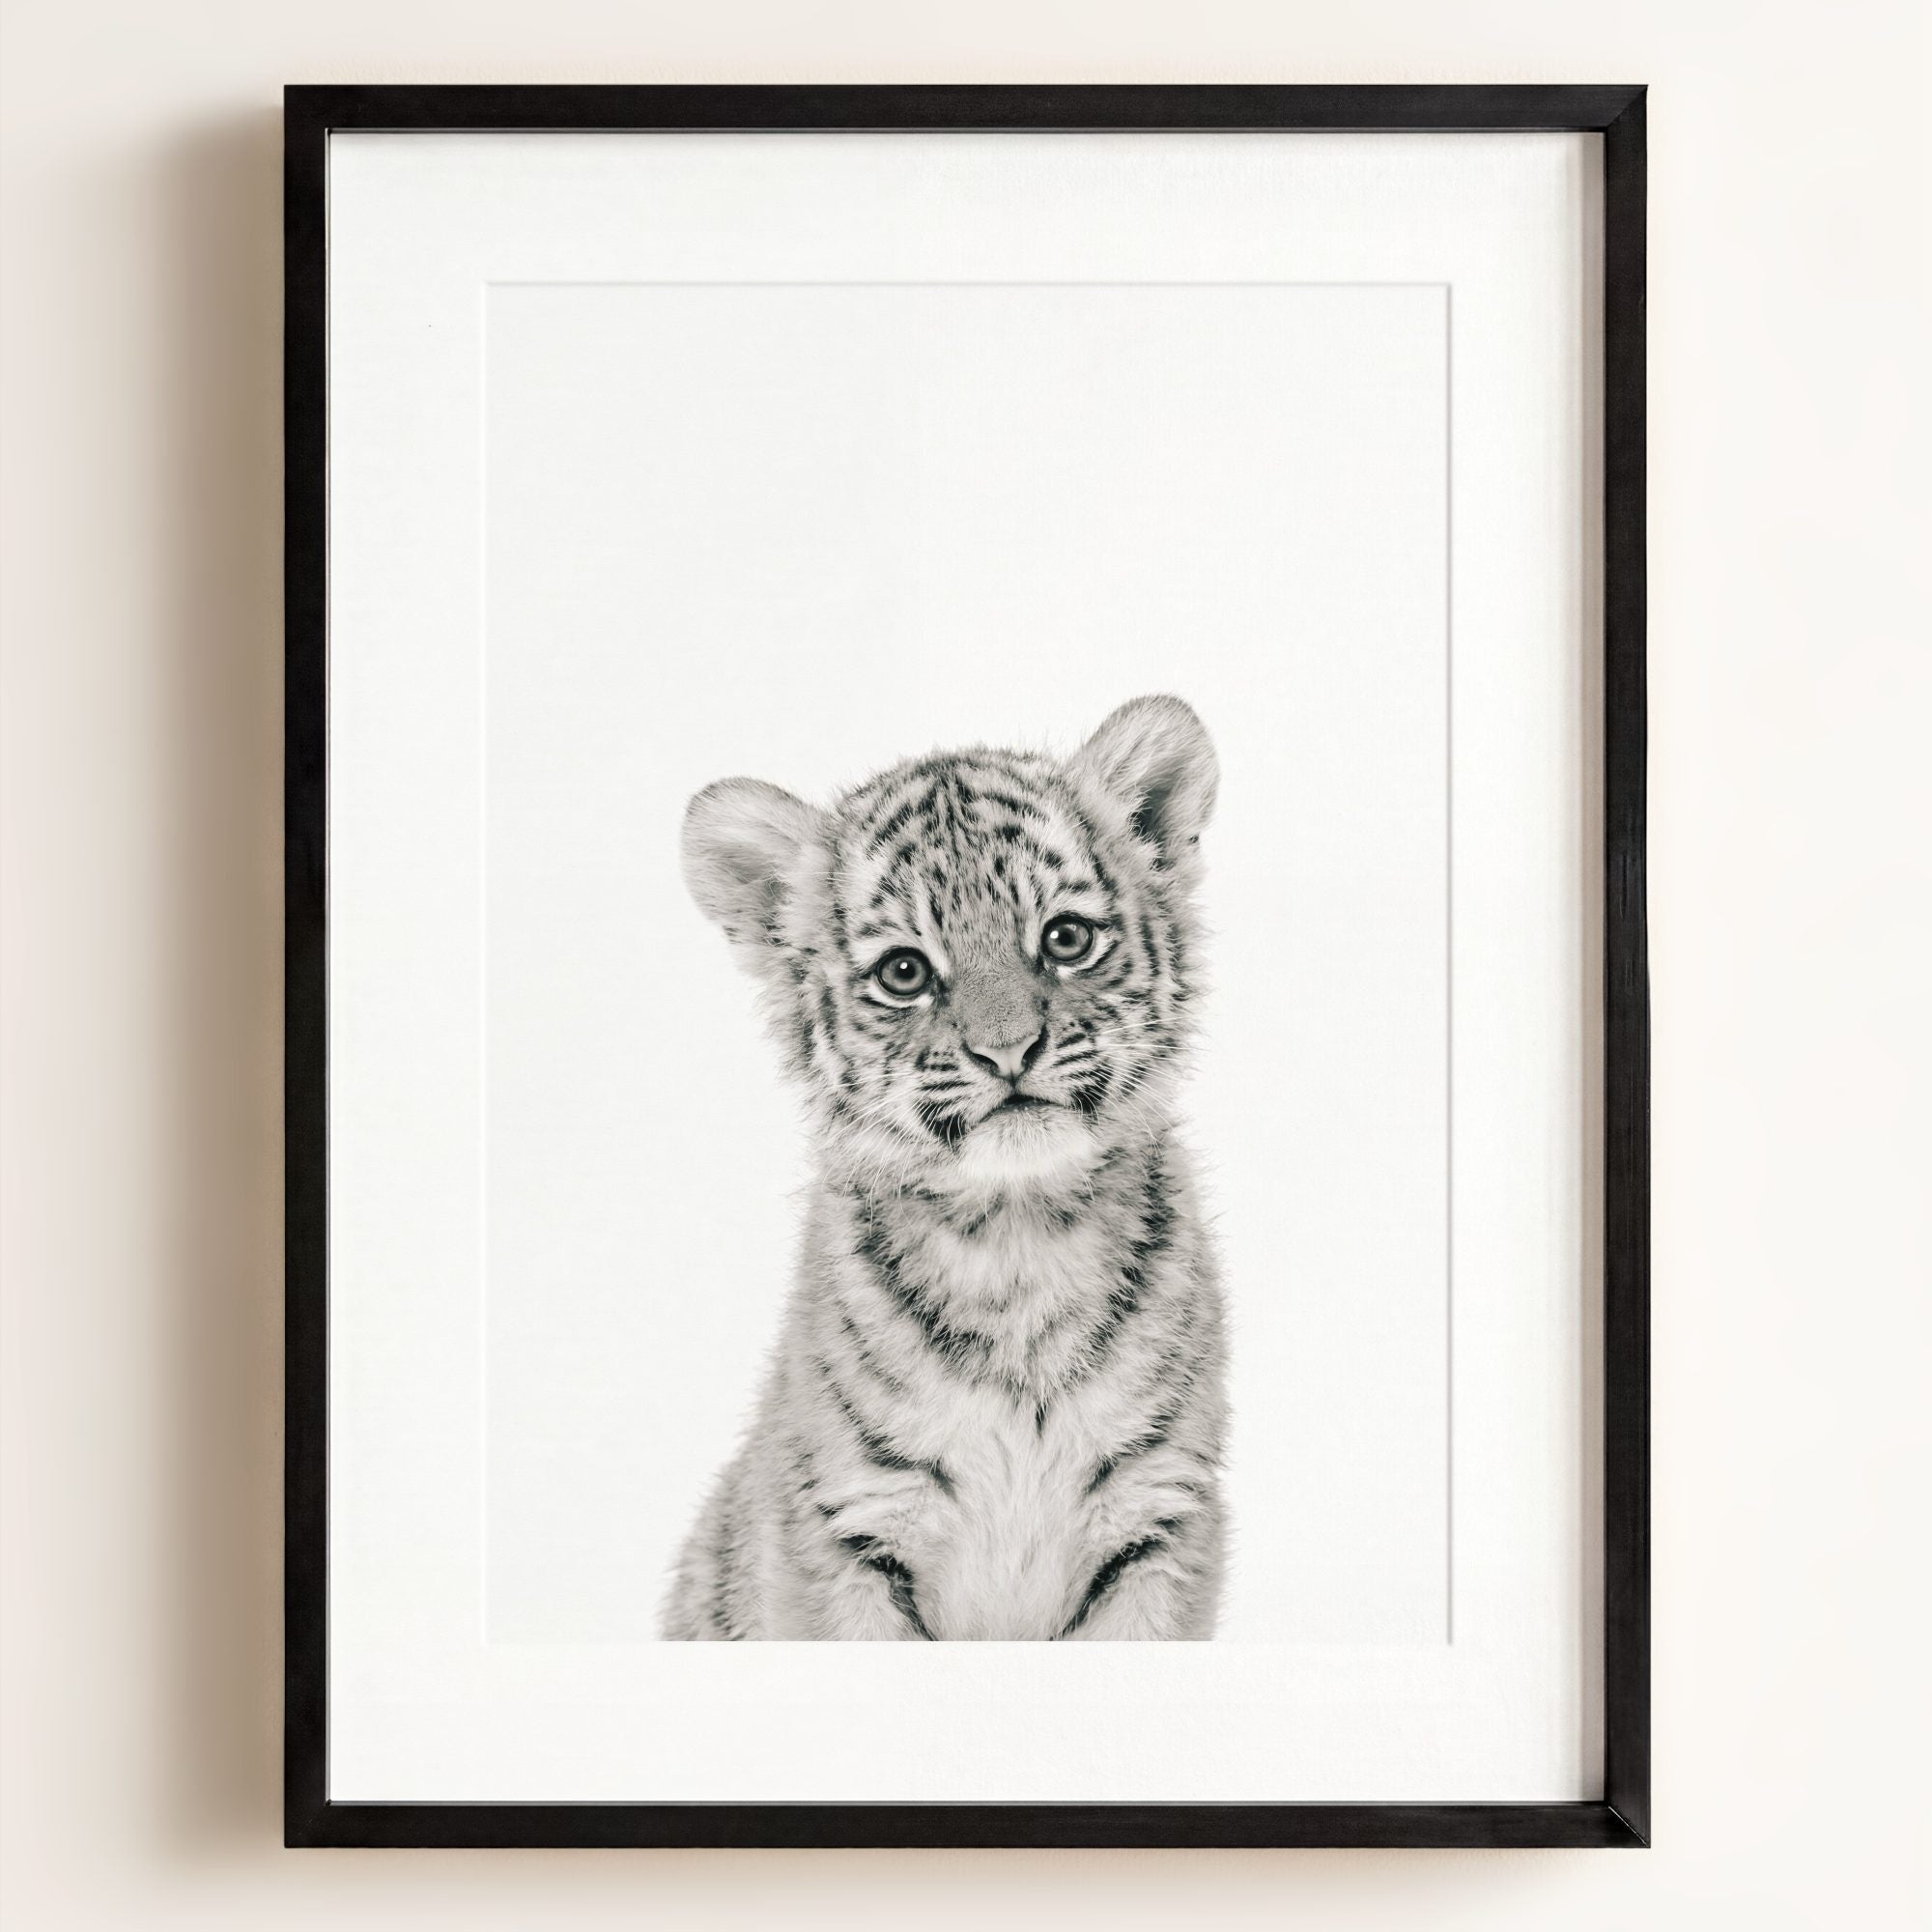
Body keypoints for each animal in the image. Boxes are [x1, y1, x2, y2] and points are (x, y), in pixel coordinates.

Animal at [661, 695, 1227, 1640]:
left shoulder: (1159, 1519)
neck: (1018, 1242)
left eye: (1065, 938)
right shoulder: (845, 1531)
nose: (1009, 1051)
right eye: (905, 972)